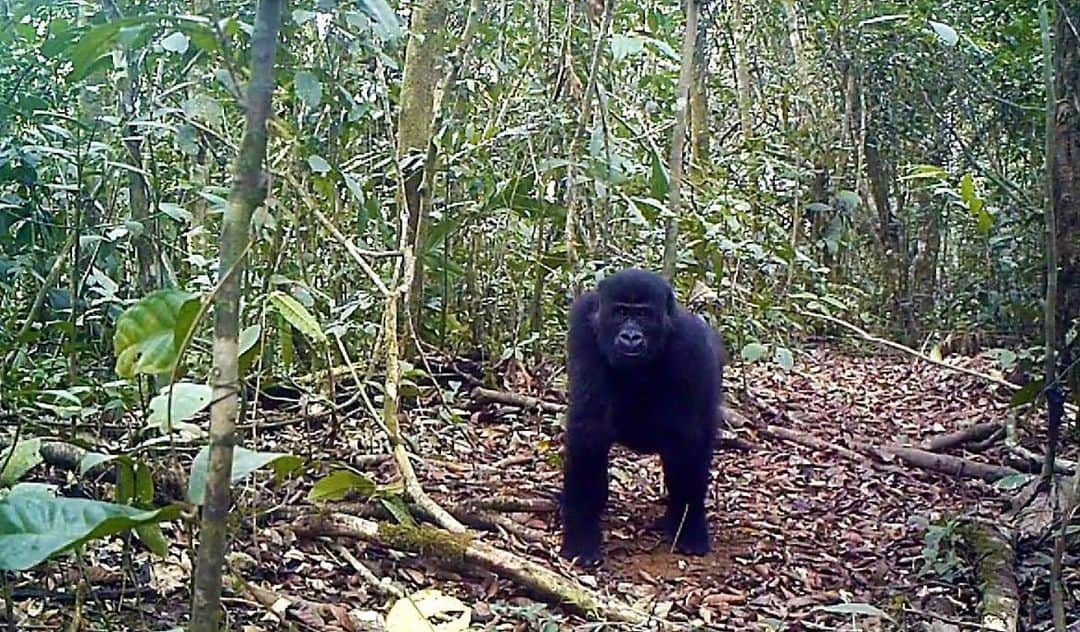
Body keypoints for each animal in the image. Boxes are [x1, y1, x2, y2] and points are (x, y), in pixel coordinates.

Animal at [557, 269, 725, 566]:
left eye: (644, 315)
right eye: (621, 312)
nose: (631, 337)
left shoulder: (691, 346)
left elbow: (686, 440)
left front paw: (689, 527)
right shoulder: (583, 327)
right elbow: (589, 426)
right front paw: (580, 532)